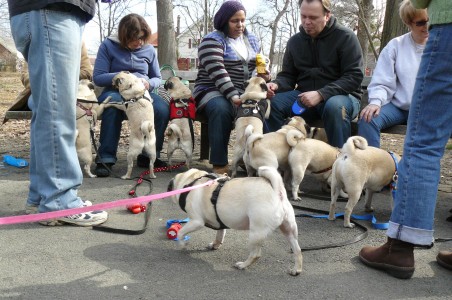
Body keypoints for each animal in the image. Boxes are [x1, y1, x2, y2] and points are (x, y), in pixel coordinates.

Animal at [169, 166, 304, 276]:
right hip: (289, 229)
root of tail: (277, 192)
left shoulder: (196, 222)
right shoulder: (220, 221)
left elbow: (181, 232)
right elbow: (220, 235)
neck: (192, 181)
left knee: (256, 254)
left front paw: (181, 244)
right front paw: (215, 245)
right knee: (297, 250)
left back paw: (242, 265)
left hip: (256, 233)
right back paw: (296, 270)